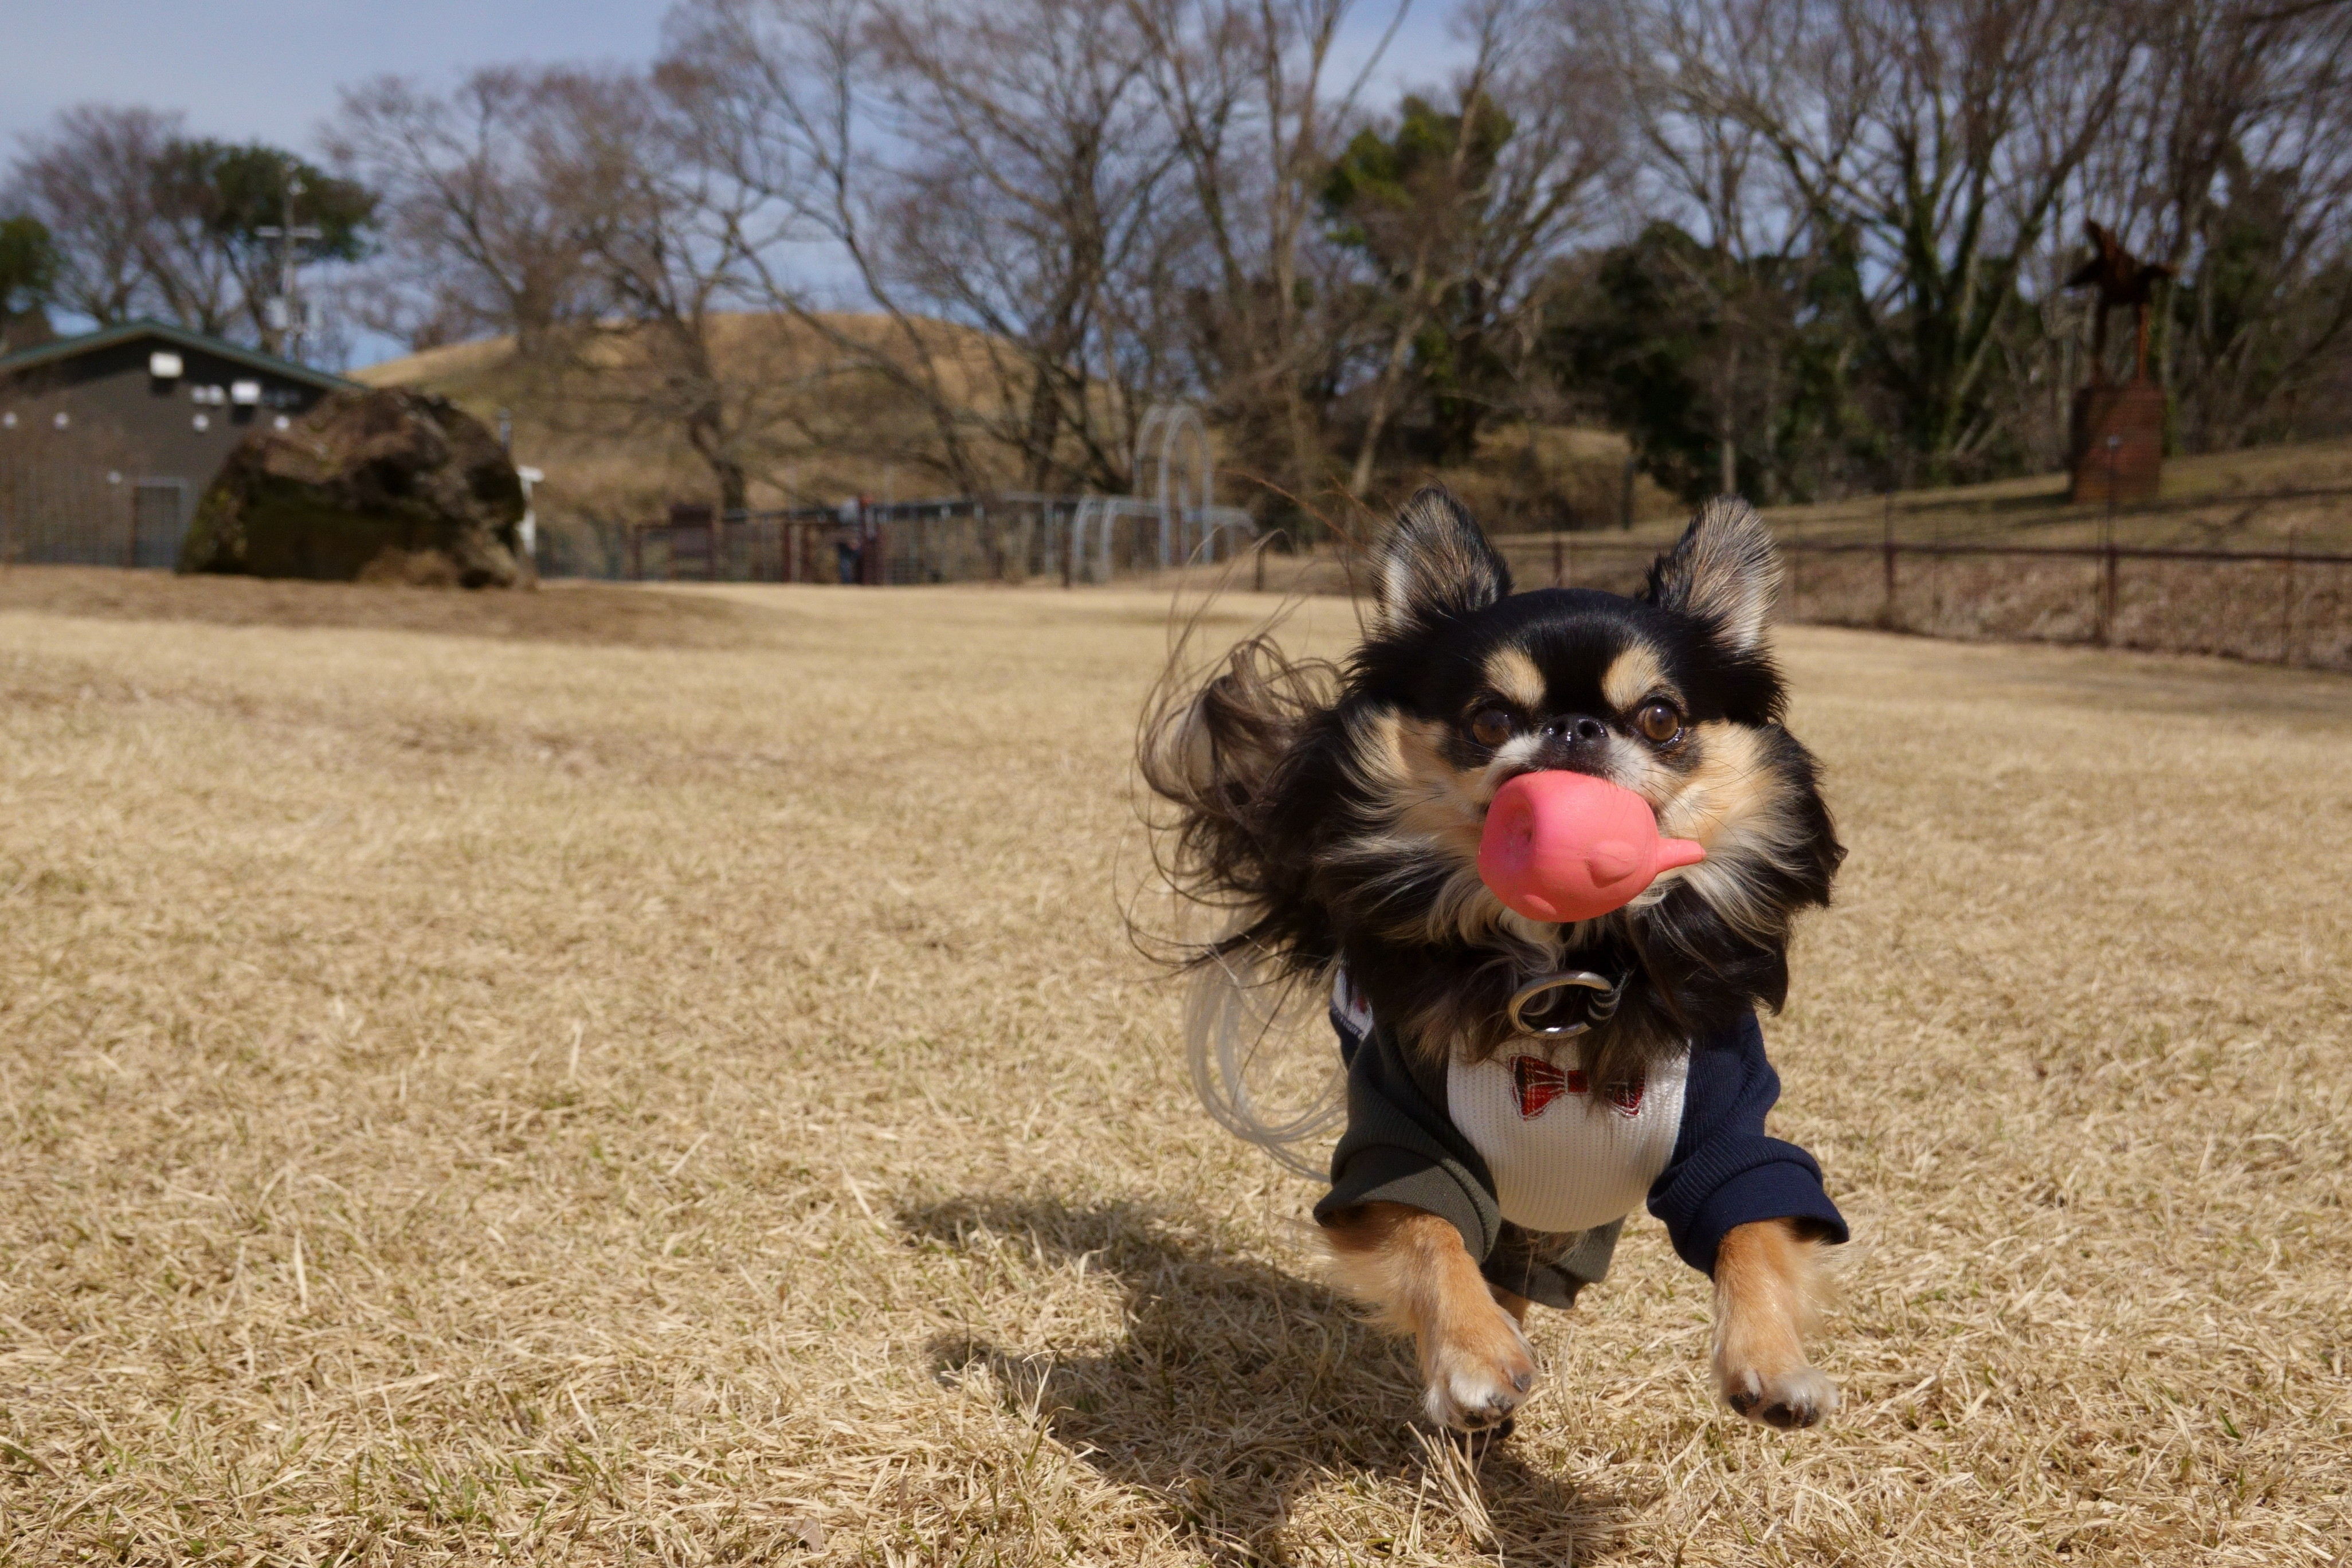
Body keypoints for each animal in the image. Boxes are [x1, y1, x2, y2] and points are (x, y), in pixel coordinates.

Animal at [1147, 491, 1844, 1438]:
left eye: (1661, 718)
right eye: (1489, 720)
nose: (1576, 728)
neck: (1565, 982)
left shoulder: (1730, 1131)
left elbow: (1755, 1229)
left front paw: (1772, 1362)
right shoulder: (1399, 1139)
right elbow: (1432, 1236)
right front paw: (1473, 1361)